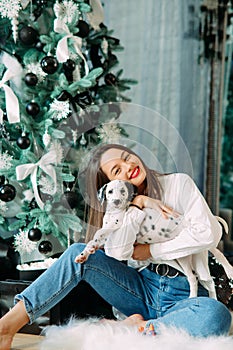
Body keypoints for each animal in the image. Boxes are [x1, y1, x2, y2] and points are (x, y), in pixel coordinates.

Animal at [76, 180, 233, 298]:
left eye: (122, 191)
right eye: (109, 191)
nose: (116, 201)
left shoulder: (116, 226)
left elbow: (98, 233)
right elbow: (95, 240)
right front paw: (85, 253)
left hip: (191, 250)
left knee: (213, 257)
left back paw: (227, 271)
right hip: (182, 259)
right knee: (206, 281)